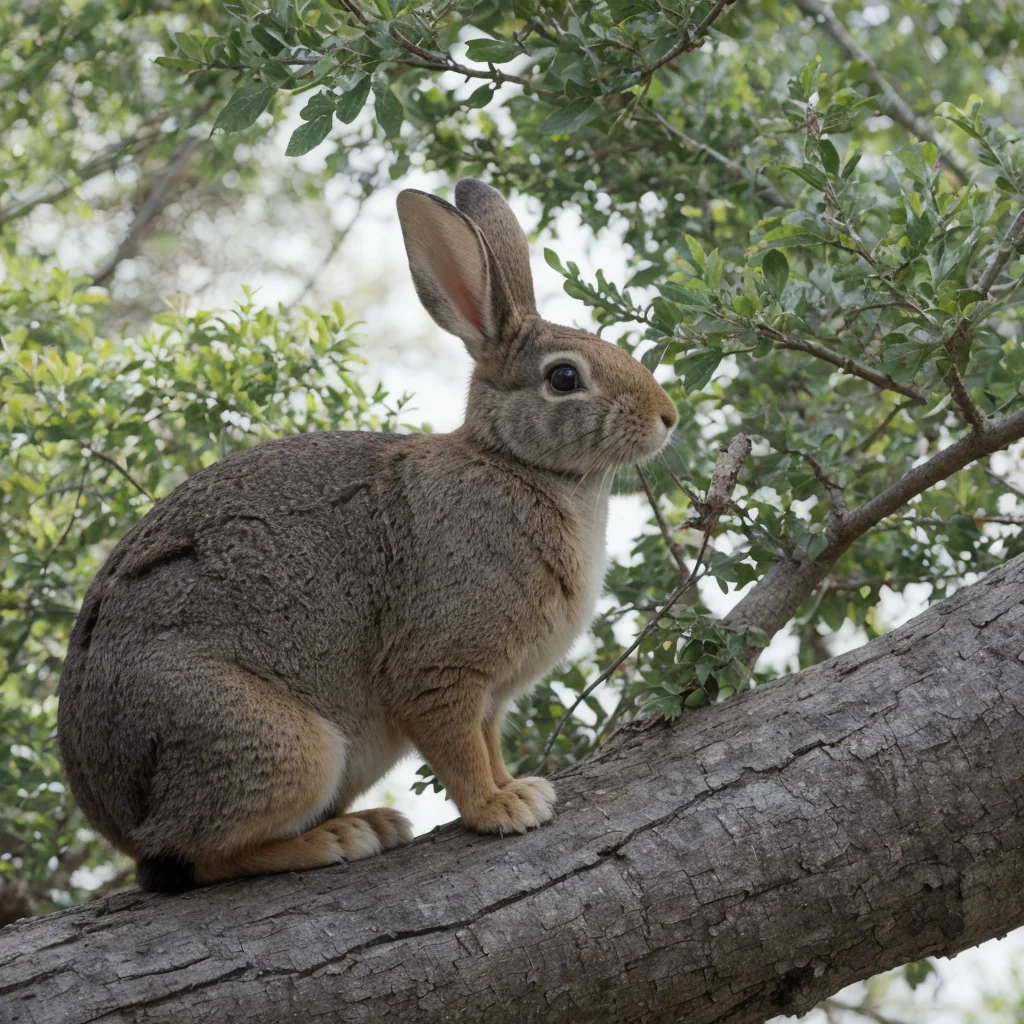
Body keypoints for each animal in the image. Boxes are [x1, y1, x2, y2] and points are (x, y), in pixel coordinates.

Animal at [58, 176, 679, 888]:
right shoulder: (440, 666)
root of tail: (111, 813)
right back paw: (341, 838)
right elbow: (459, 749)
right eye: (564, 377)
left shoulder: (490, 695)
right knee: (204, 856)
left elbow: (488, 742)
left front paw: (518, 788)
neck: (516, 464)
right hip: (279, 744)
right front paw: (501, 809)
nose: (668, 415)